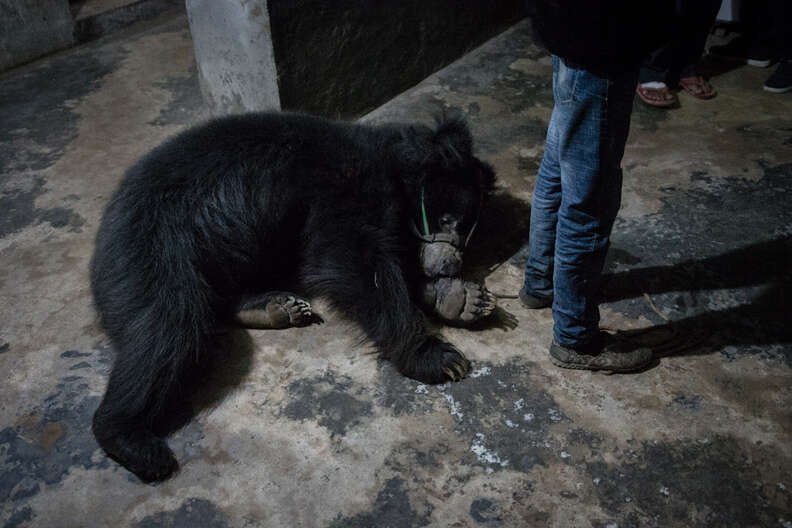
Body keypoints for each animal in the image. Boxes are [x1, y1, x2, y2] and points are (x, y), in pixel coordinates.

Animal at [91, 112, 496, 482]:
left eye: (470, 231)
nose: (449, 264)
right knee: (168, 325)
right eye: (448, 220)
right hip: (157, 247)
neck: (392, 165)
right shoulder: (345, 190)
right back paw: (133, 441)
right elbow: (353, 262)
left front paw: (461, 298)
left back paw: (277, 308)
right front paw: (442, 359)